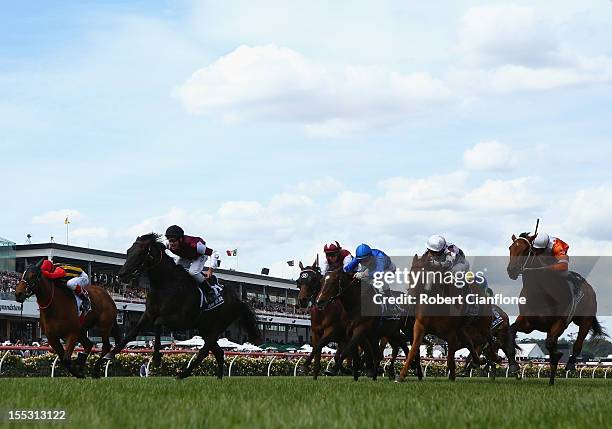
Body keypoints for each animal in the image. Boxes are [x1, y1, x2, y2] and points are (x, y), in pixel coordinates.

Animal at [103, 234, 260, 378]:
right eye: (129, 251)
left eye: (141, 252)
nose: (122, 275)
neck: (166, 285)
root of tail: (238, 300)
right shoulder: (148, 314)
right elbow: (132, 332)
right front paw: (110, 353)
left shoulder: (180, 320)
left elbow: (158, 323)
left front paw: (157, 358)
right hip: (204, 328)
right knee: (219, 353)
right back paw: (218, 379)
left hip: (216, 328)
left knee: (204, 352)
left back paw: (183, 374)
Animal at [506, 232, 604, 386]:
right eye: (511, 248)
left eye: (525, 250)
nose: (512, 270)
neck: (539, 293)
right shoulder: (528, 323)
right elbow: (511, 331)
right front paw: (513, 366)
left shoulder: (560, 322)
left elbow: (551, 344)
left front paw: (558, 356)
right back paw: (552, 379)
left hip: (585, 320)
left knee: (577, 344)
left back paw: (569, 365)